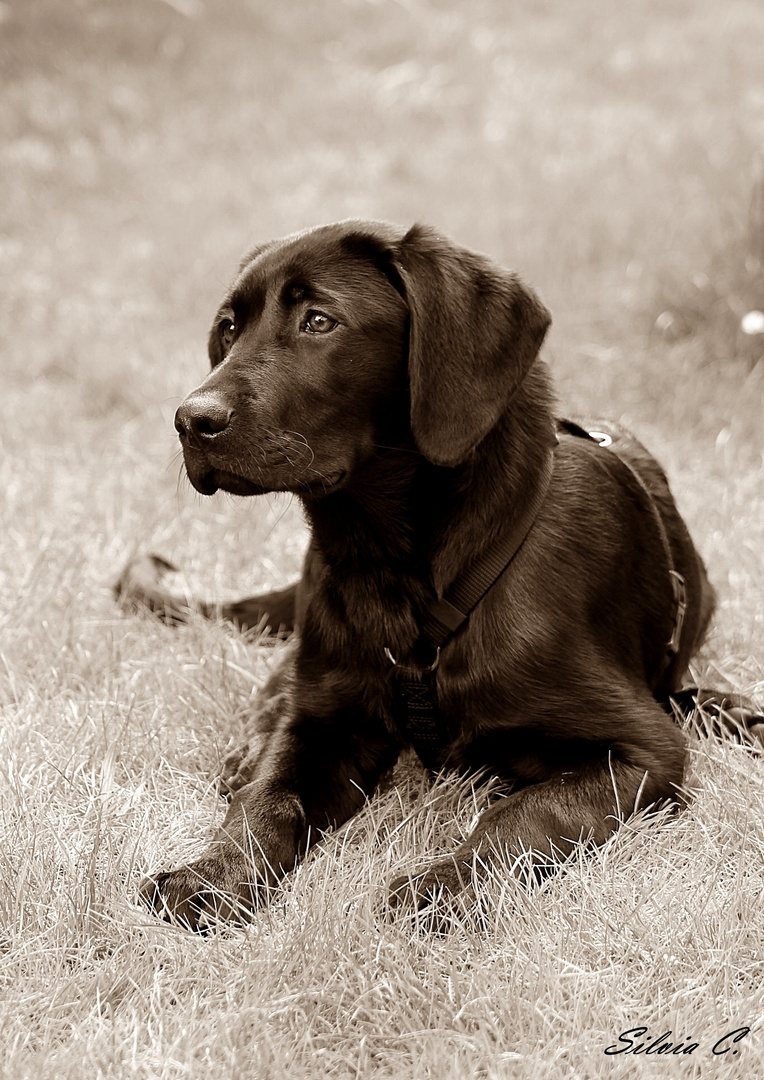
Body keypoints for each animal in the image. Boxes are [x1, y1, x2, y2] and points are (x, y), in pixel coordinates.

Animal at [116, 219, 760, 928]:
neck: (398, 571)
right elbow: (270, 795)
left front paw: (441, 886)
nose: (191, 421)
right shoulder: (326, 720)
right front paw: (216, 874)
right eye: (229, 328)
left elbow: (522, 815)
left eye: (319, 320)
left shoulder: (642, 750)